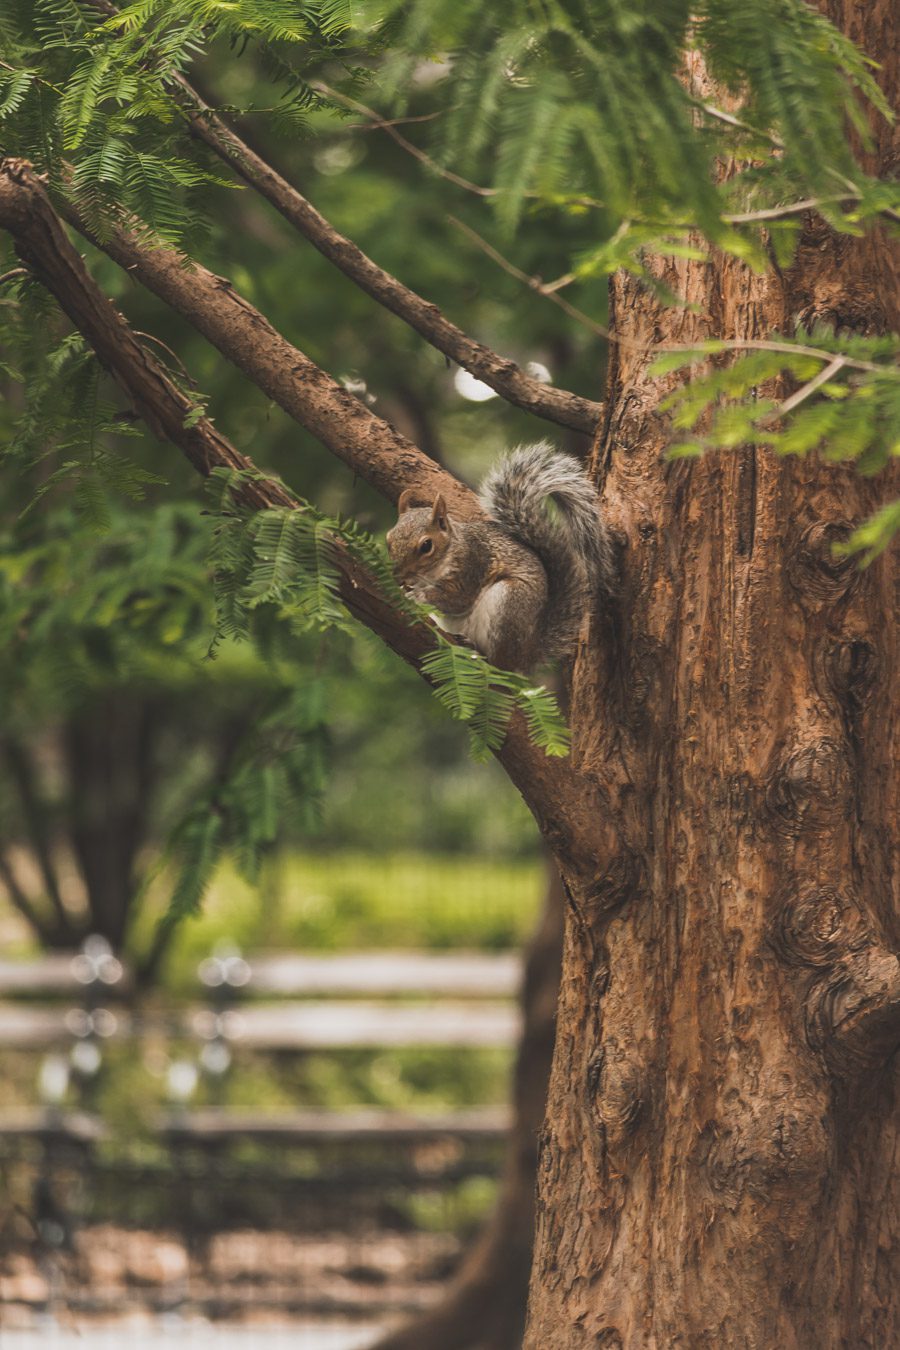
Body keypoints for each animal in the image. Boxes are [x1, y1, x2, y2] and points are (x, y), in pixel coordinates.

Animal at [383, 442, 615, 675]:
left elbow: (457, 599)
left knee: (501, 664)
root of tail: (526, 655)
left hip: (508, 603)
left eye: (426, 546)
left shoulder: (472, 563)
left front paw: (417, 595)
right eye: (388, 539)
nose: (397, 574)